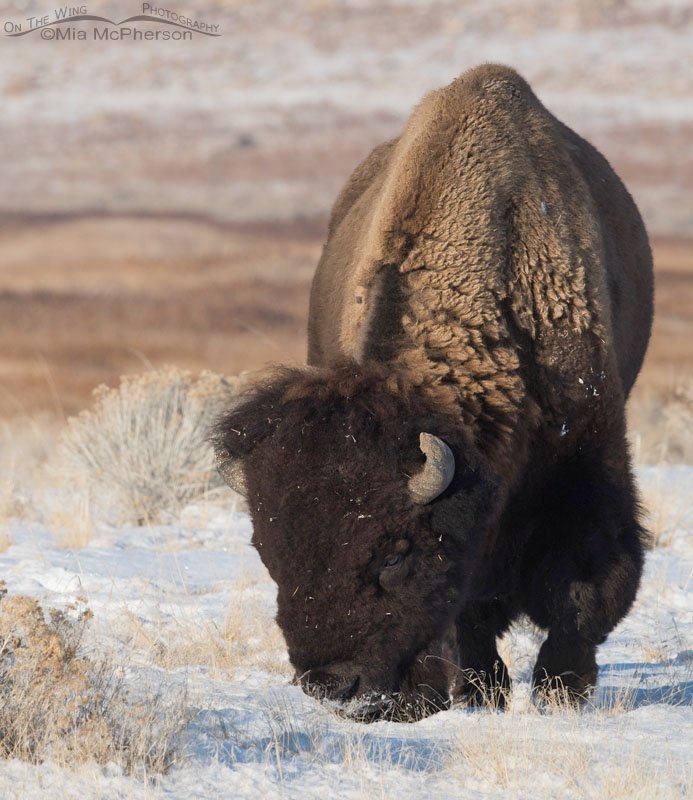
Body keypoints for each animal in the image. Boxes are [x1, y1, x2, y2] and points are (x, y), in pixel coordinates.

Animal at [213, 64, 653, 721]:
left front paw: (561, 692)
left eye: (395, 554)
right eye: (268, 554)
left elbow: (585, 591)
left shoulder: (588, 463)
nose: (331, 685)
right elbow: (467, 610)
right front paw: (475, 691)